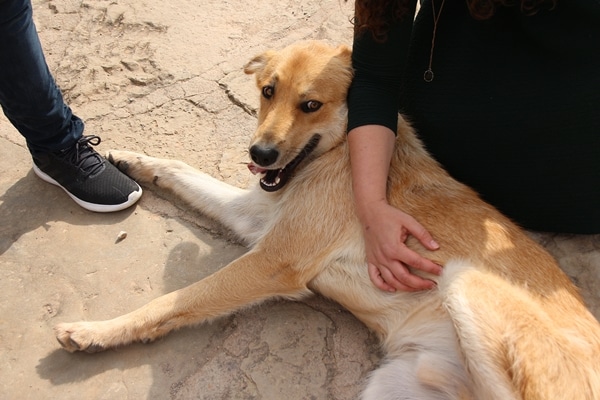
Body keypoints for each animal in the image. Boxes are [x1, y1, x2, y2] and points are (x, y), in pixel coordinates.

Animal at [54, 42, 596, 398]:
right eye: (267, 91)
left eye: (310, 105)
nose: (259, 155)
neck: (339, 155)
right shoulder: (255, 217)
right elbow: (180, 168)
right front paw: (131, 159)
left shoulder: (274, 261)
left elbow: (174, 301)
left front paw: (99, 331)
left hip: (464, 280)